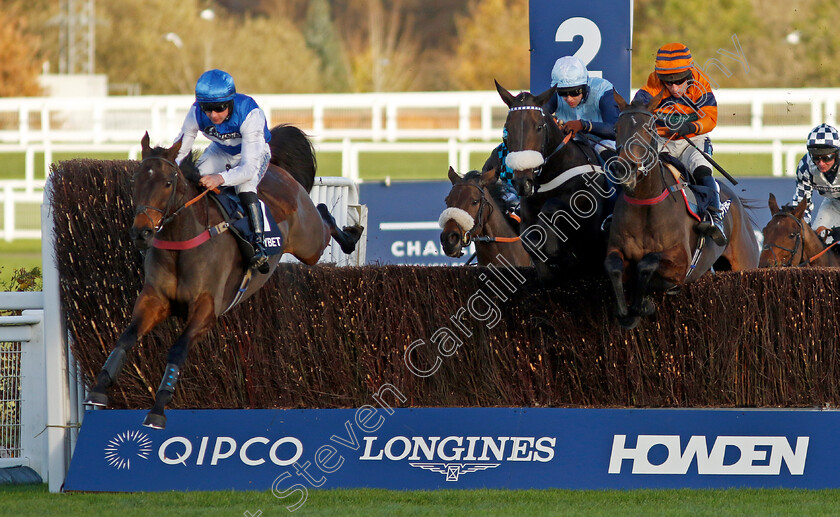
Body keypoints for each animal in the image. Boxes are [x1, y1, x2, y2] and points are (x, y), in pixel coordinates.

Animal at [82, 129, 364, 428]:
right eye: (136, 180)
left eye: (168, 183)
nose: (142, 233)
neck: (182, 242)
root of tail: (277, 169)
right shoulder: (154, 299)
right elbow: (125, 338)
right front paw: (99, 389)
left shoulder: (207, 309)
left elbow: (178, 349)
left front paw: (158, 409)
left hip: (309, 244)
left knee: (322, 213)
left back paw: (352, 235)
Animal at [492, 80, 612, 282]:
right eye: (506, 130)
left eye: (539, 127)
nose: (523, 183)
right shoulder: (526, 217)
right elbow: (529, 241)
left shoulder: (590, 230)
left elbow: (552, 211)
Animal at [604, 92, 760, 326]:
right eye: (616, 128)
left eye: (650, 129)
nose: (624, 169)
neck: (645, 204)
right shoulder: (616, 249)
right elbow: (613, 267)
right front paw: (625, 311)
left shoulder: (681, 263)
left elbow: (647, 264)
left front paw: (642, 304)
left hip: (744, 263)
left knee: (703, 170)